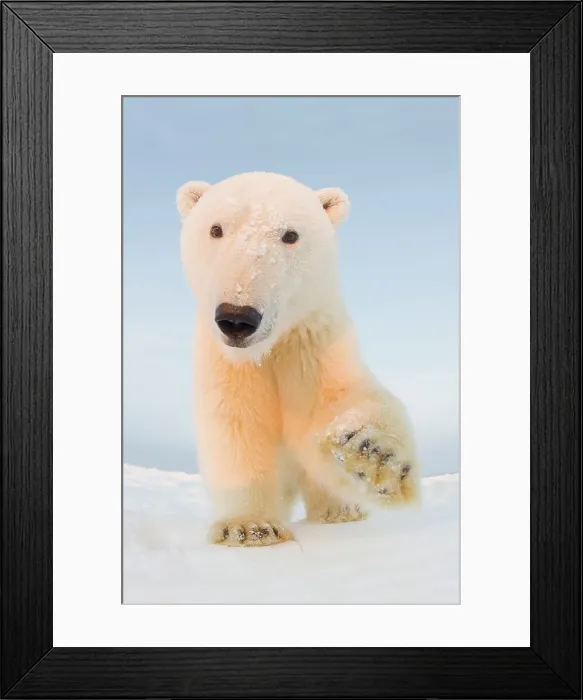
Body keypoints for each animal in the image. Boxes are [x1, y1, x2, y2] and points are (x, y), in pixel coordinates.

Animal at [178, 172, 419, 546]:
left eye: (290, 235)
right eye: (215, 229)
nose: (237, 317)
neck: (270, 349)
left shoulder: (312, 342)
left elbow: (335, 401)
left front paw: (374, 455)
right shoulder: (226, 364)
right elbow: (236, 426)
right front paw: (249, 527)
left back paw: (340, 510)